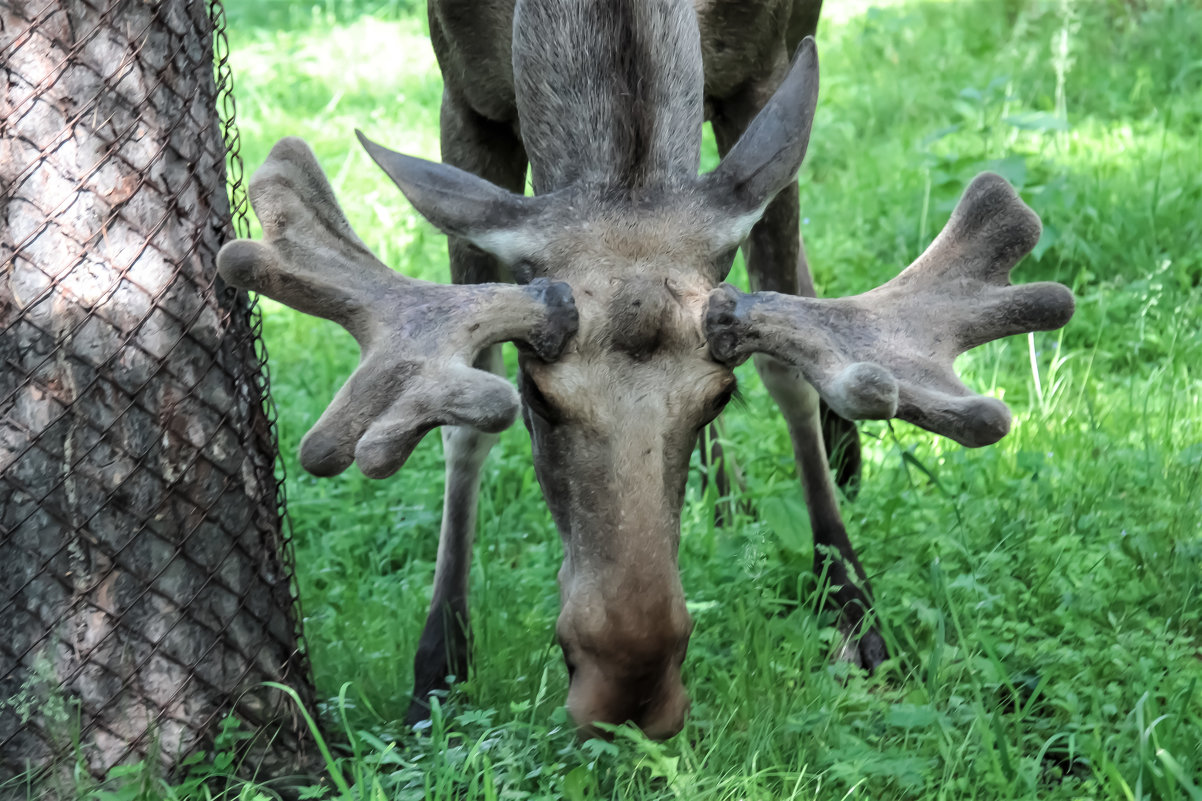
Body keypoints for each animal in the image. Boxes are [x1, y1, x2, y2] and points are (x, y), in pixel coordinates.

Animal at [218, 0, 1081, 736]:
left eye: (718, 395)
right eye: (535, 397)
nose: (629, 689)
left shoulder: (761, 77)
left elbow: (787, 367)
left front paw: (852, 603)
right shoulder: (467, 102)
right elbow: (463, 414)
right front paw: (437, 670)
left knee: (798, 278)